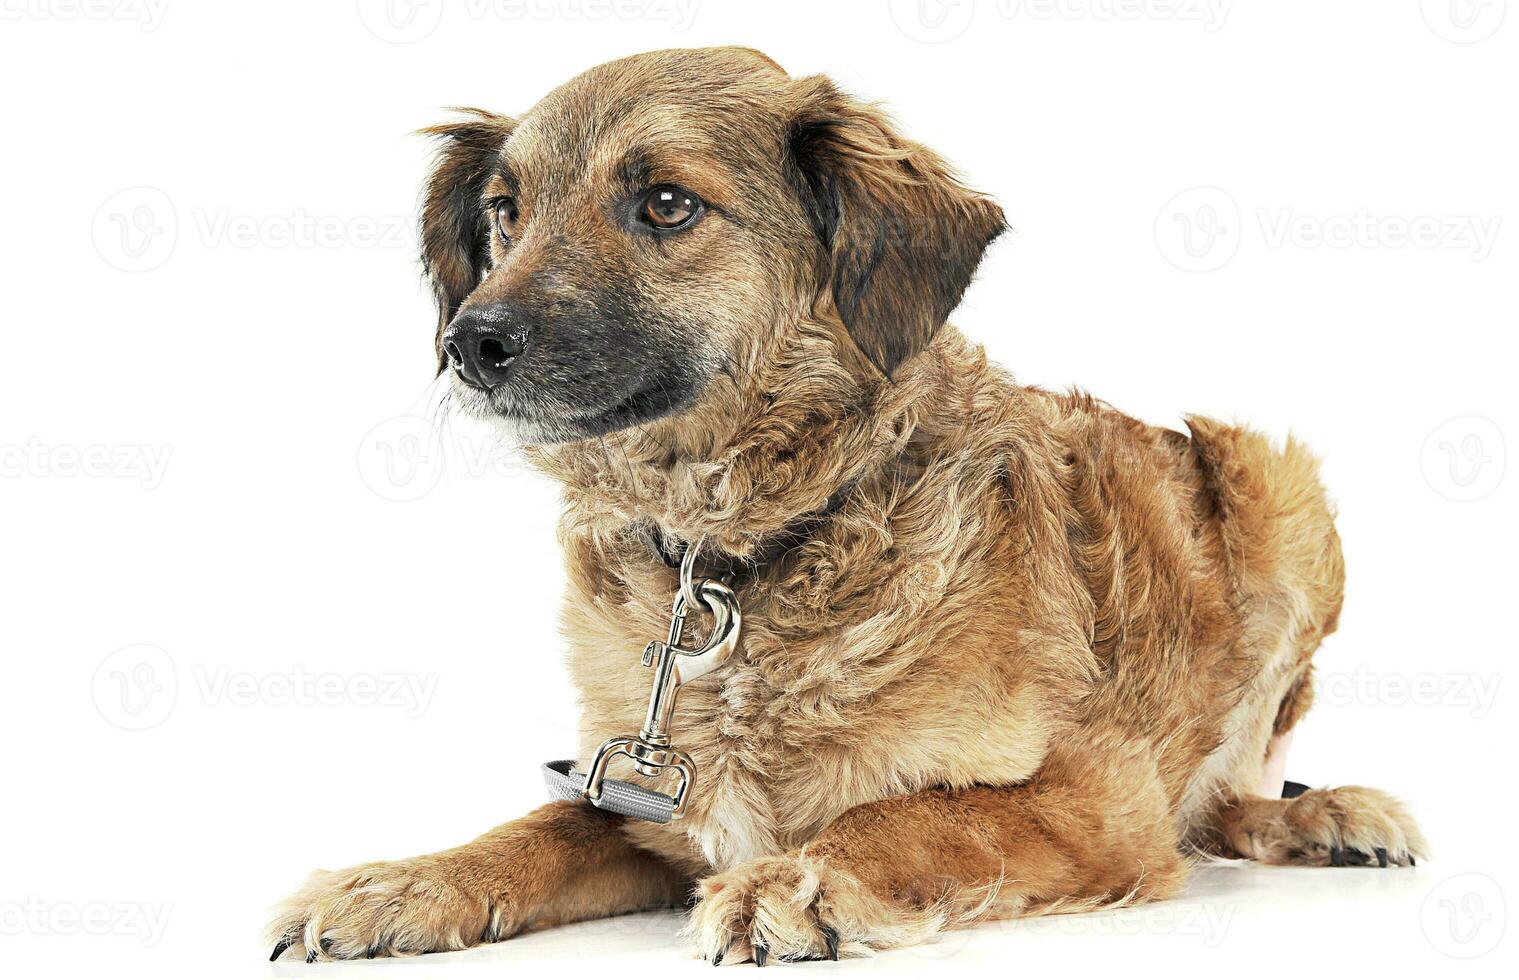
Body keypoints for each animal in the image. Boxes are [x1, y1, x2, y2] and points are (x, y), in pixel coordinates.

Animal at [270, 47, 1421, 960]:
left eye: (667, 204)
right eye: (505, 212)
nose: (470, 340)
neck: (739, 552)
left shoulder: (1099, 796)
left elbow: (911, 820)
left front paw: (798, 880)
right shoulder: (648, 805)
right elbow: (538, 827)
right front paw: (403, 880)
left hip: (1279, 493)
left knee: (1231, 794)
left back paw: (1327, 814)